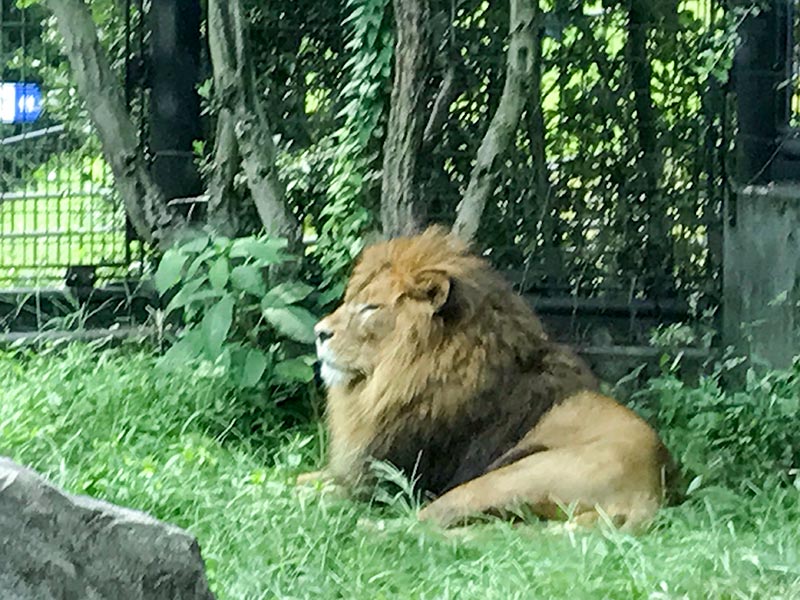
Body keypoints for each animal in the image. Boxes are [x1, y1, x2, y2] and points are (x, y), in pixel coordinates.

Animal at [296, 225, 680, 528]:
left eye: (371, 308)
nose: (318, 332)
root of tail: (651, 494)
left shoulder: (388, 480)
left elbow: (310, 487)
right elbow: (294, 475)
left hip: (505, 478)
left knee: (419, 525)